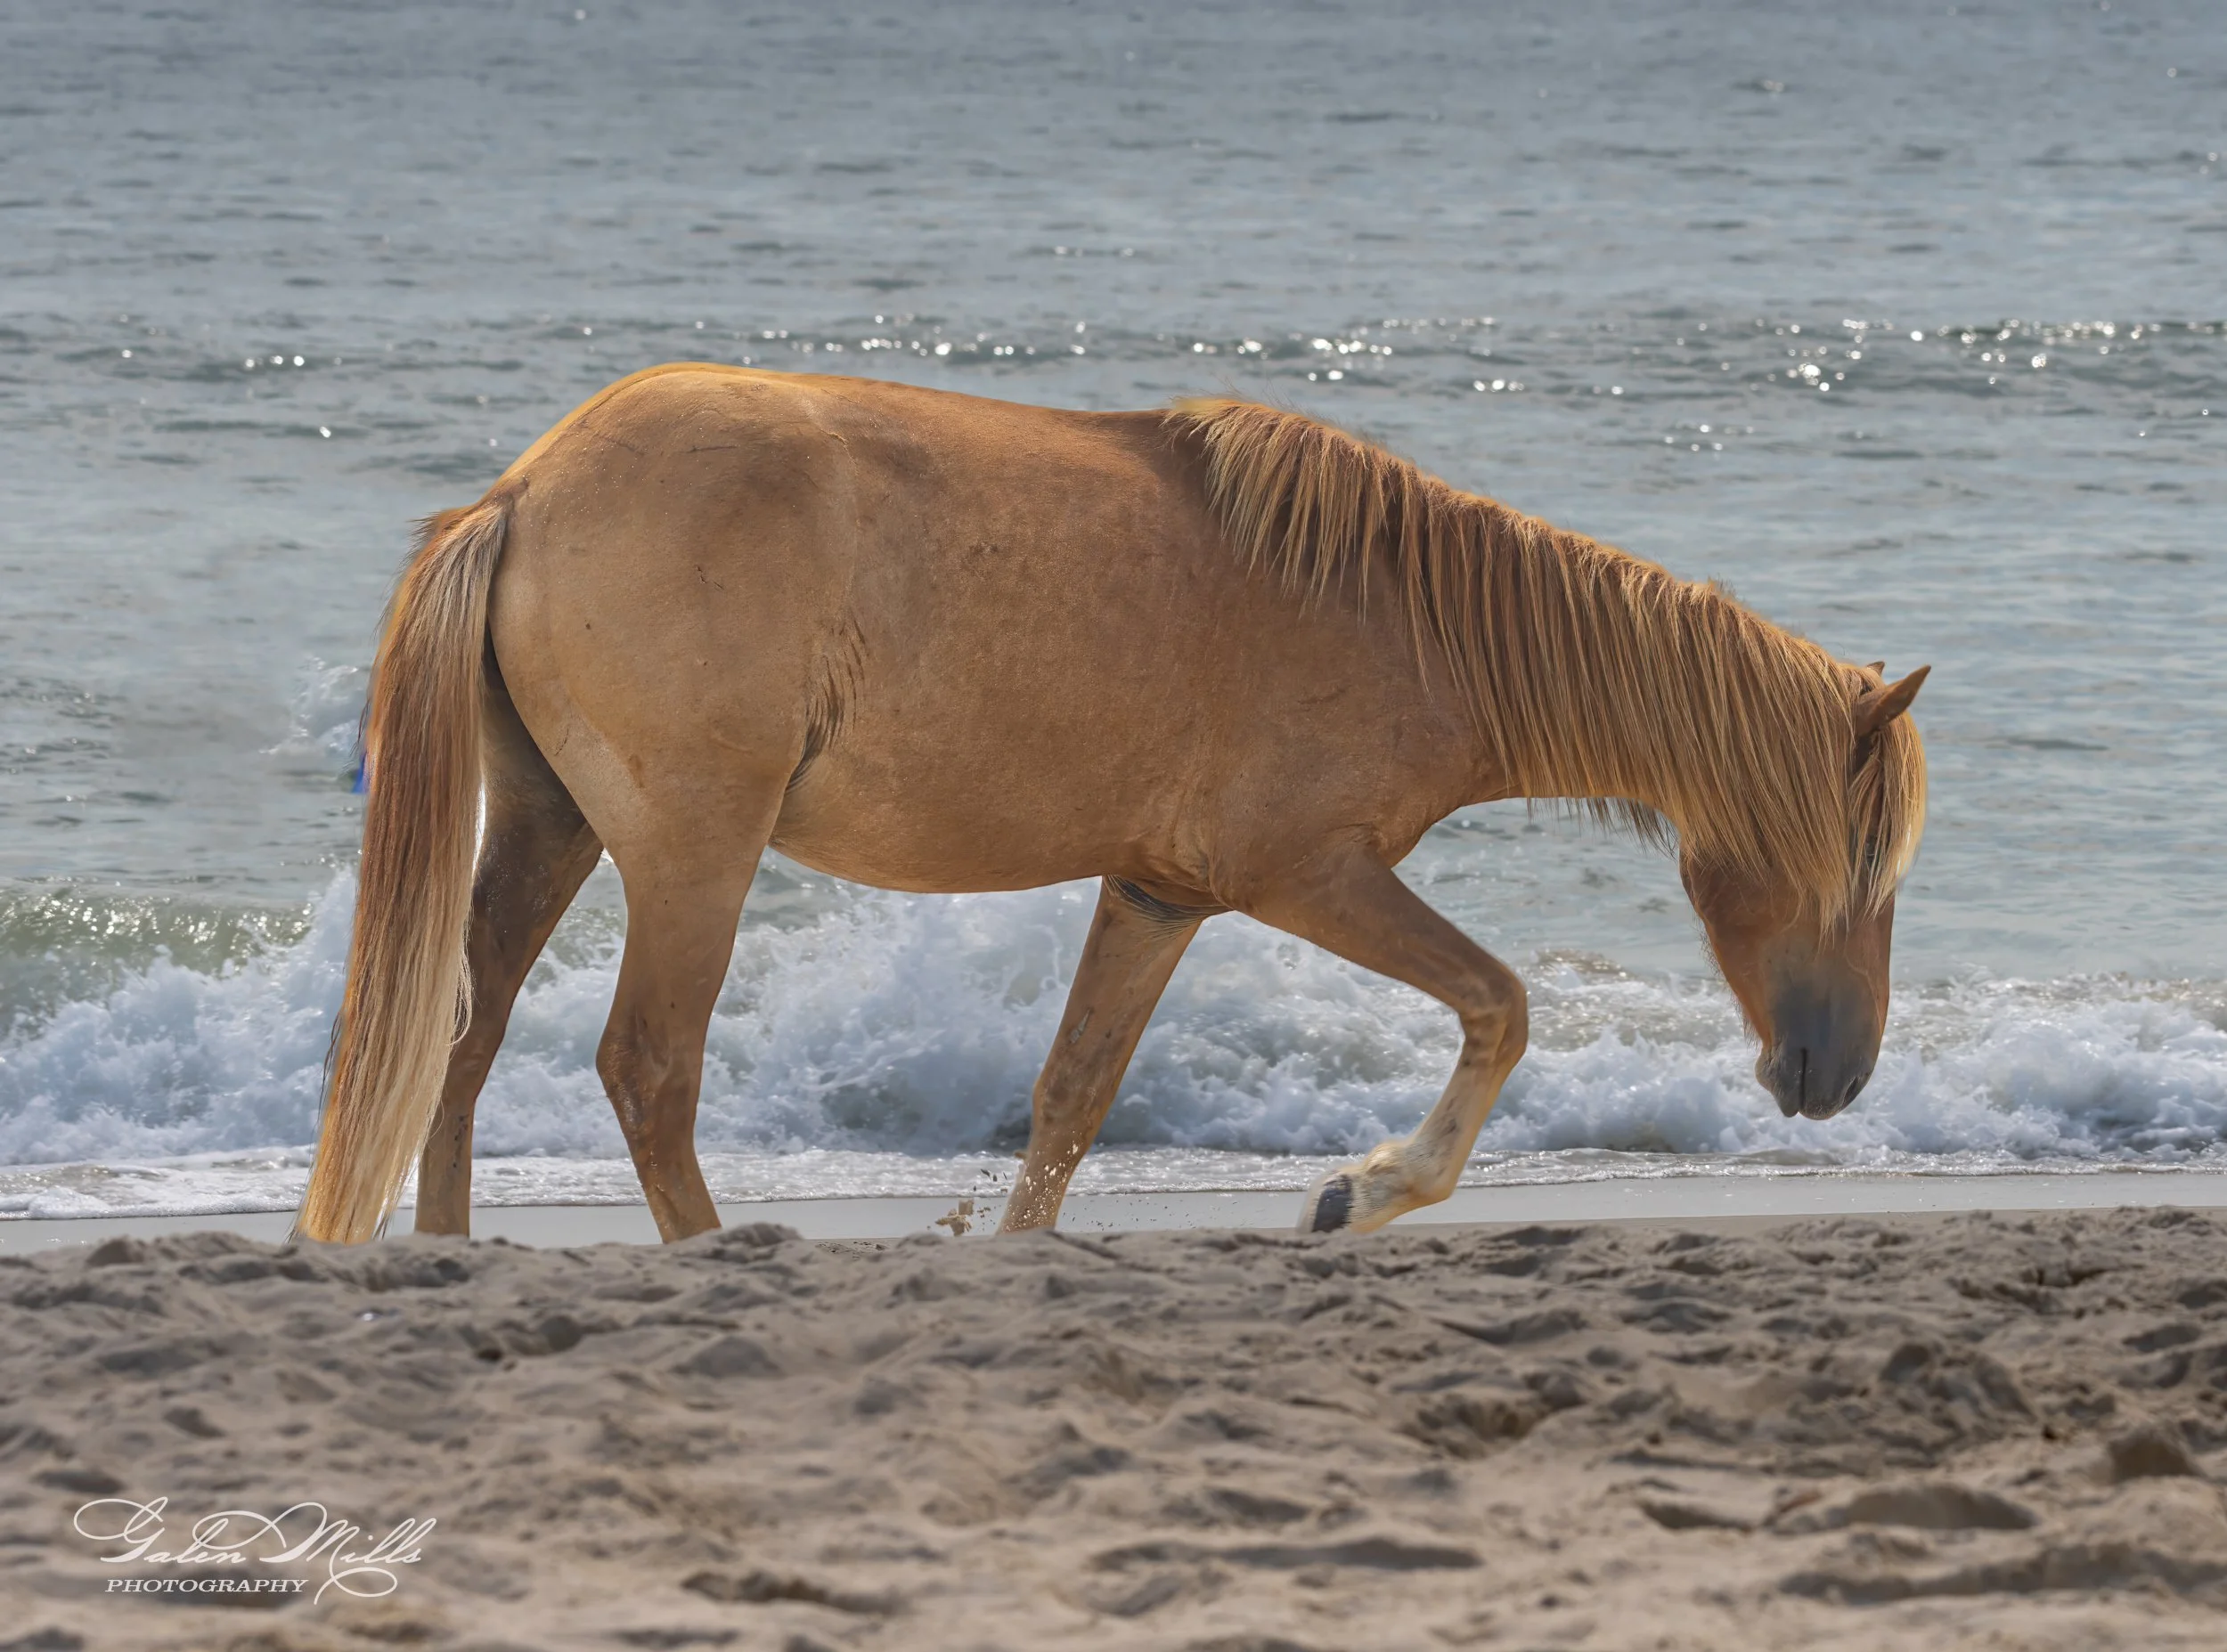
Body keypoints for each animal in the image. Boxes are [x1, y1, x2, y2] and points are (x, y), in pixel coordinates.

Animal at [293, 367, 1929, 1245]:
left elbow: (1071, 1098)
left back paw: (446, 1255)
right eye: (1863, 858)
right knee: (645, 1066)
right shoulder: (1304, 877)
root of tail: (524, 490)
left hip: (549, 826)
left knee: (461, 1039)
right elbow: (1502, 1004)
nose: (1837, 1074)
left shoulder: (1160, 892)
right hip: (695, 853)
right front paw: (1363, 1192)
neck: (1406, 615)